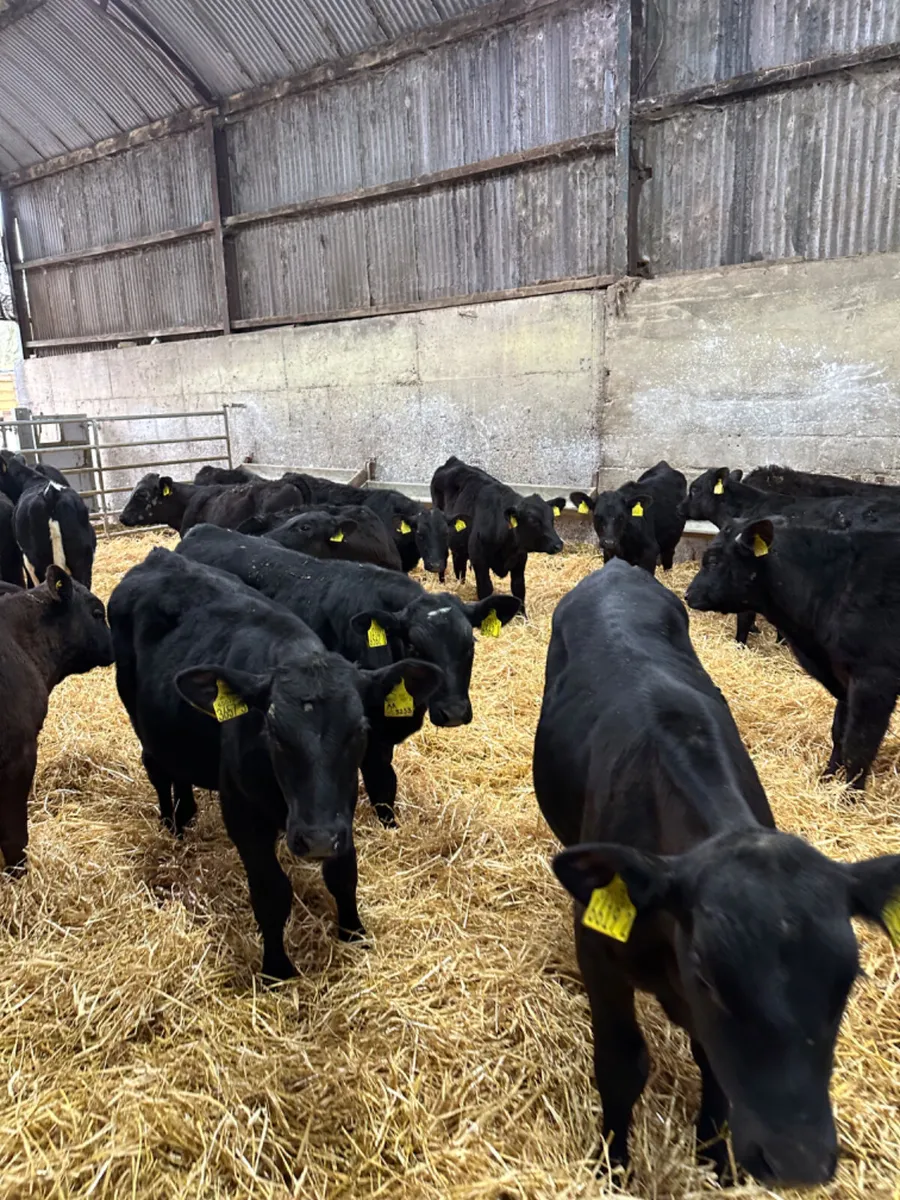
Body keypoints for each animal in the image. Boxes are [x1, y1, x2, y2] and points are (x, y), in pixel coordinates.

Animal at [109, 548, 442, 979]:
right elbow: (271, 892)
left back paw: (188, 814)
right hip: (142, 724)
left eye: (360, 729)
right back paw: (173, 824)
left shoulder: (341, 808)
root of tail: (159, 556)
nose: (317, 841)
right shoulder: (243, 815)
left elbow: (343, 873)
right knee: (158, 769)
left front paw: (353, 932)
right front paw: (277, 968)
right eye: (273, 732)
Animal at [430, 456, 565, 611]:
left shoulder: (520, 561)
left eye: (552, 519)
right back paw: (442, 582)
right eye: (533, 521)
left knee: (459, 562)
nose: (558, 545)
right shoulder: (479, 560)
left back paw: (460, 583)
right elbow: (486, 589)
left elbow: (519, 590)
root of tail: (453, 461)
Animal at [534, 558, 900, 1185]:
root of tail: (617, 567)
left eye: (847, 980)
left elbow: (714, 1064)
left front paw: (714, 1159)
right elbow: (621, 1063)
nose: (797, 1160)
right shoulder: (599, 951)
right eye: (705, 972)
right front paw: (613, 1166)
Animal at [686, 517, 900, 790]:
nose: (688, 594)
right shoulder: (842, 679)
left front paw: (850, 794)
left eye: (713, 560)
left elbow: (859, 747)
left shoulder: (874, 683)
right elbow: (839, 732)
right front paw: (827, 778)